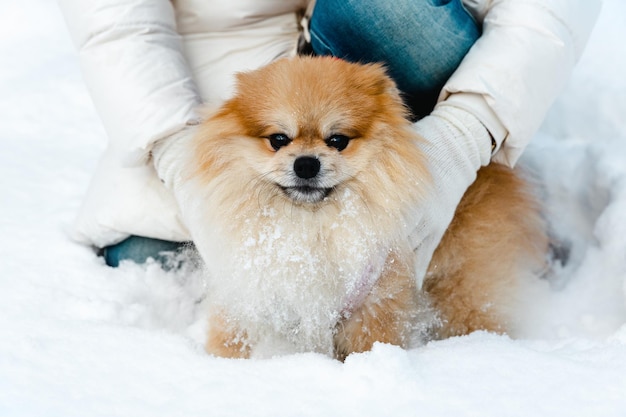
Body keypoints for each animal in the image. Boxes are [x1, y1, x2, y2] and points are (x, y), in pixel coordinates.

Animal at [182, 55, 544, 360]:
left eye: (337, 141)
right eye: (279, 139)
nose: (306, 164)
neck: (310, 227)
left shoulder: (374, 303)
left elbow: (368, 345)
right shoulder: (251, 294)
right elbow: (233, 338)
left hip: (460, 282)